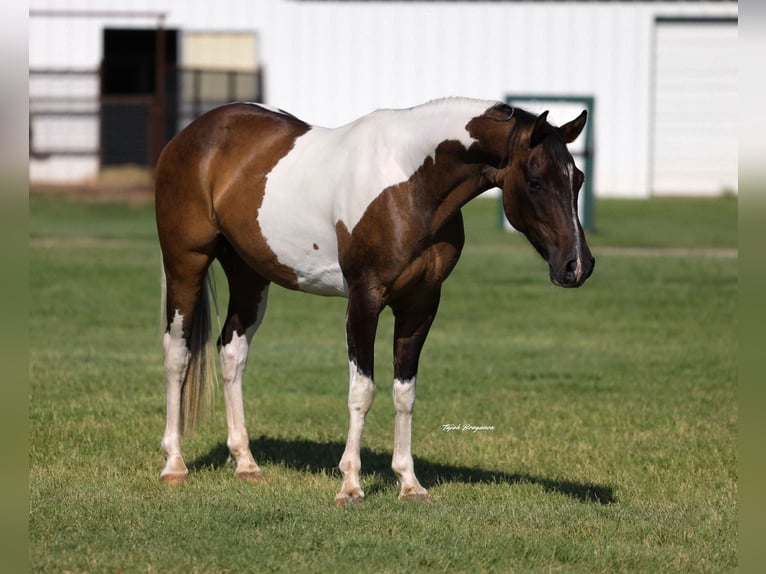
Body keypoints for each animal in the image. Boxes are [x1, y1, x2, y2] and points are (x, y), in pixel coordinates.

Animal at [155, 97, 594, 505]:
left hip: (249, 275)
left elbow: (405, 392)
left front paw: (409, 482)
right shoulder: (365, 300)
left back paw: (245, 462)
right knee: (177, 354)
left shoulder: (420, 304)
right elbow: (362, 391)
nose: (578, 265)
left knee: (232, 352)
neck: (411, 181)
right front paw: (350, 485)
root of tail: (192, 134)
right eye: (536, 182)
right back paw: (174, 464)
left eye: (578, 179)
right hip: (185, 264)